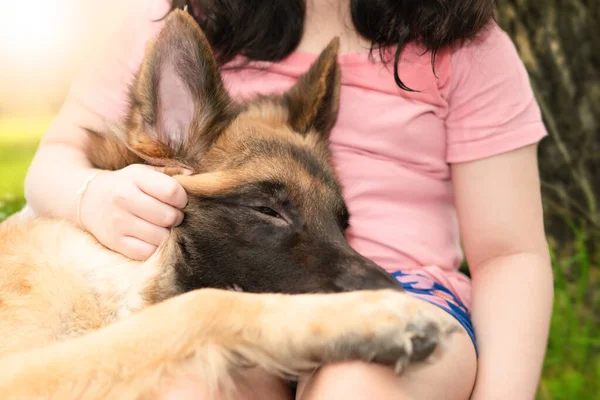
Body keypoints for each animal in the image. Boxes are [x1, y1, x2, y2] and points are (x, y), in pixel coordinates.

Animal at [0, 9, 458, 400]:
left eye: (342, 224)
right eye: (267, 210)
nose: (394, 289)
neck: (119, 266)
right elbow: (204, 305)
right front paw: (375, 315)